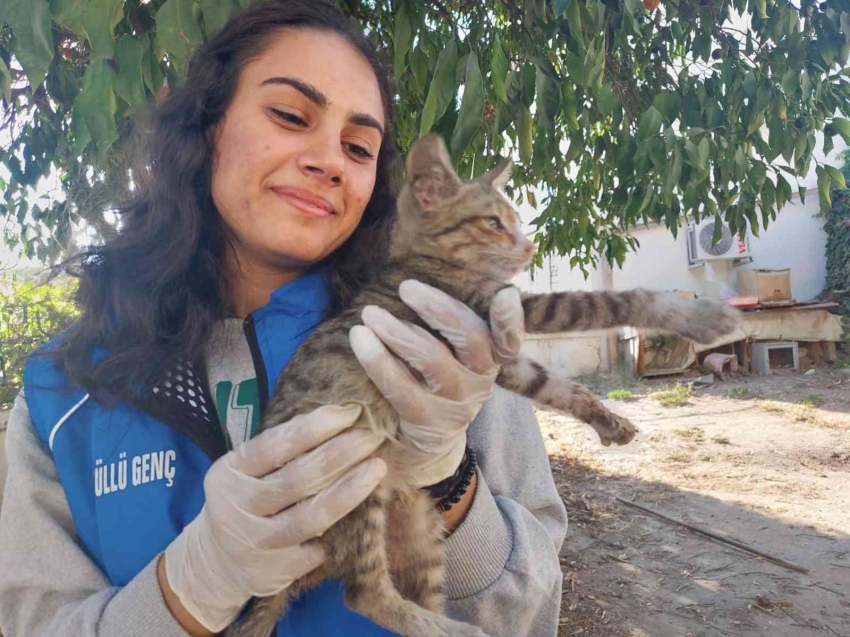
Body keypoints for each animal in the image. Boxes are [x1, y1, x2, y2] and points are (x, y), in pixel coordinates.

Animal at [229, 134, 740, 636]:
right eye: (494, 223)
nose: (530, 249)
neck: (419, 259)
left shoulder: (498, 356)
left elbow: (560, 388)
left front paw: (608, 421)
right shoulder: (502, 306)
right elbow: (613, 301)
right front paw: (695, 315)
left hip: (422, 528)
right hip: (352, 482)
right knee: (365, 594)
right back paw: (456, 630)